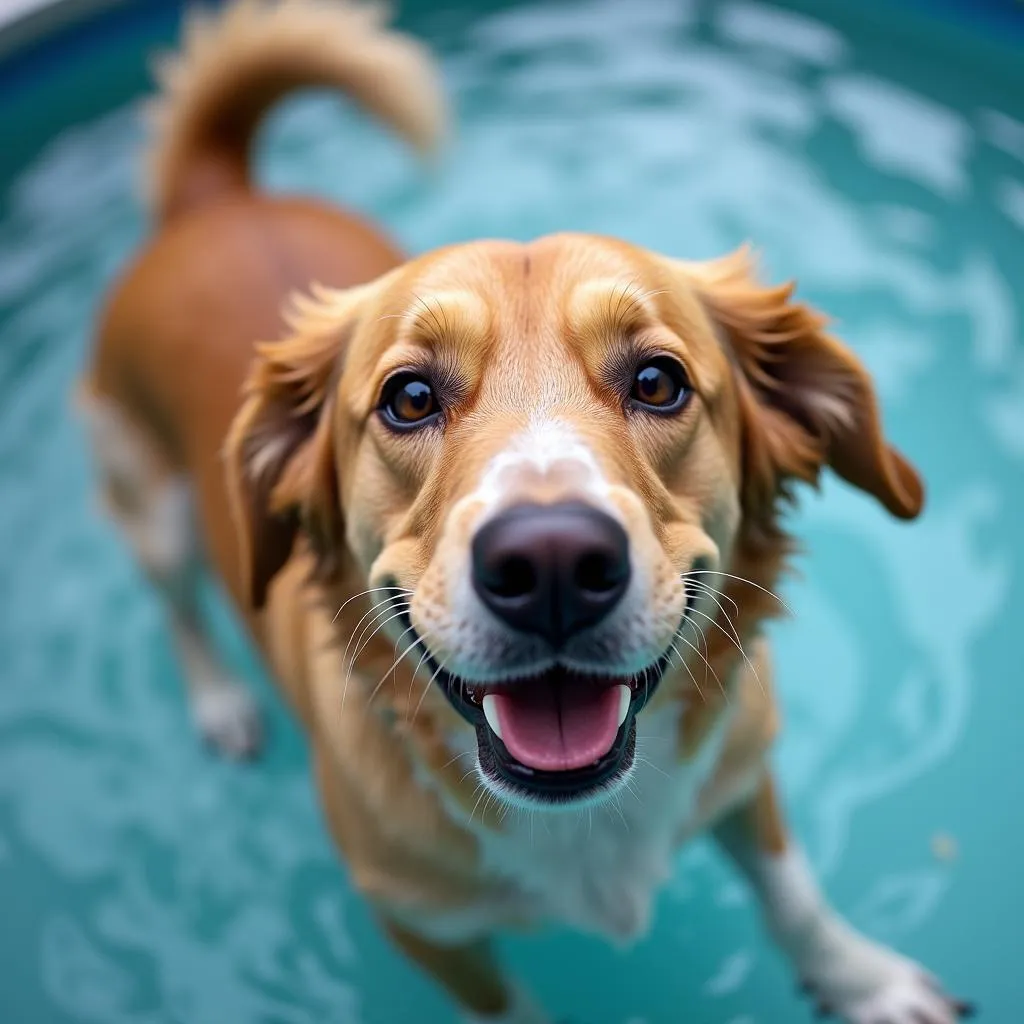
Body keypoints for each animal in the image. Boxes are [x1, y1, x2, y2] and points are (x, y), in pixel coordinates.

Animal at [79, 2, 966, 1024]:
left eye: (658, 381)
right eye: (409, 398)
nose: (551, 565)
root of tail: (213, 197)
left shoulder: (745, 772)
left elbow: (793, 894)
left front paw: (864, 980)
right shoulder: (420, 924)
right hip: (152, 508)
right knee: (178, 605)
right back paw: (220, 700)